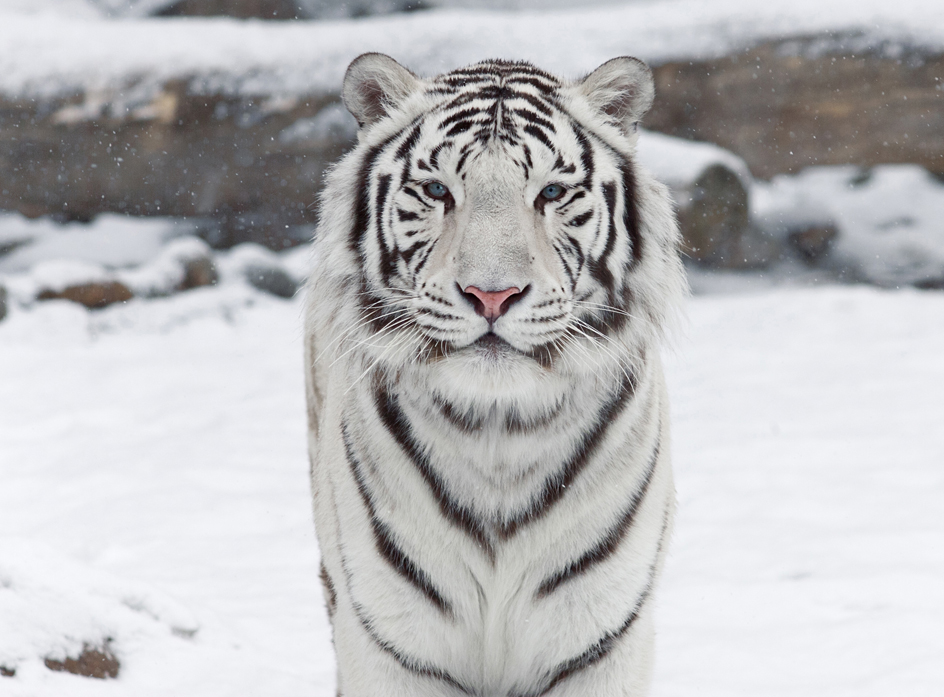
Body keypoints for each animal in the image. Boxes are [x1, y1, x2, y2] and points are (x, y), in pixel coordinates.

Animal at [306, 51, 684, 692]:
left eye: (551, 192)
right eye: (438, 190)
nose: (491, 295)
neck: (497, 435)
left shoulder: (600, 637)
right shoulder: (392, 641)